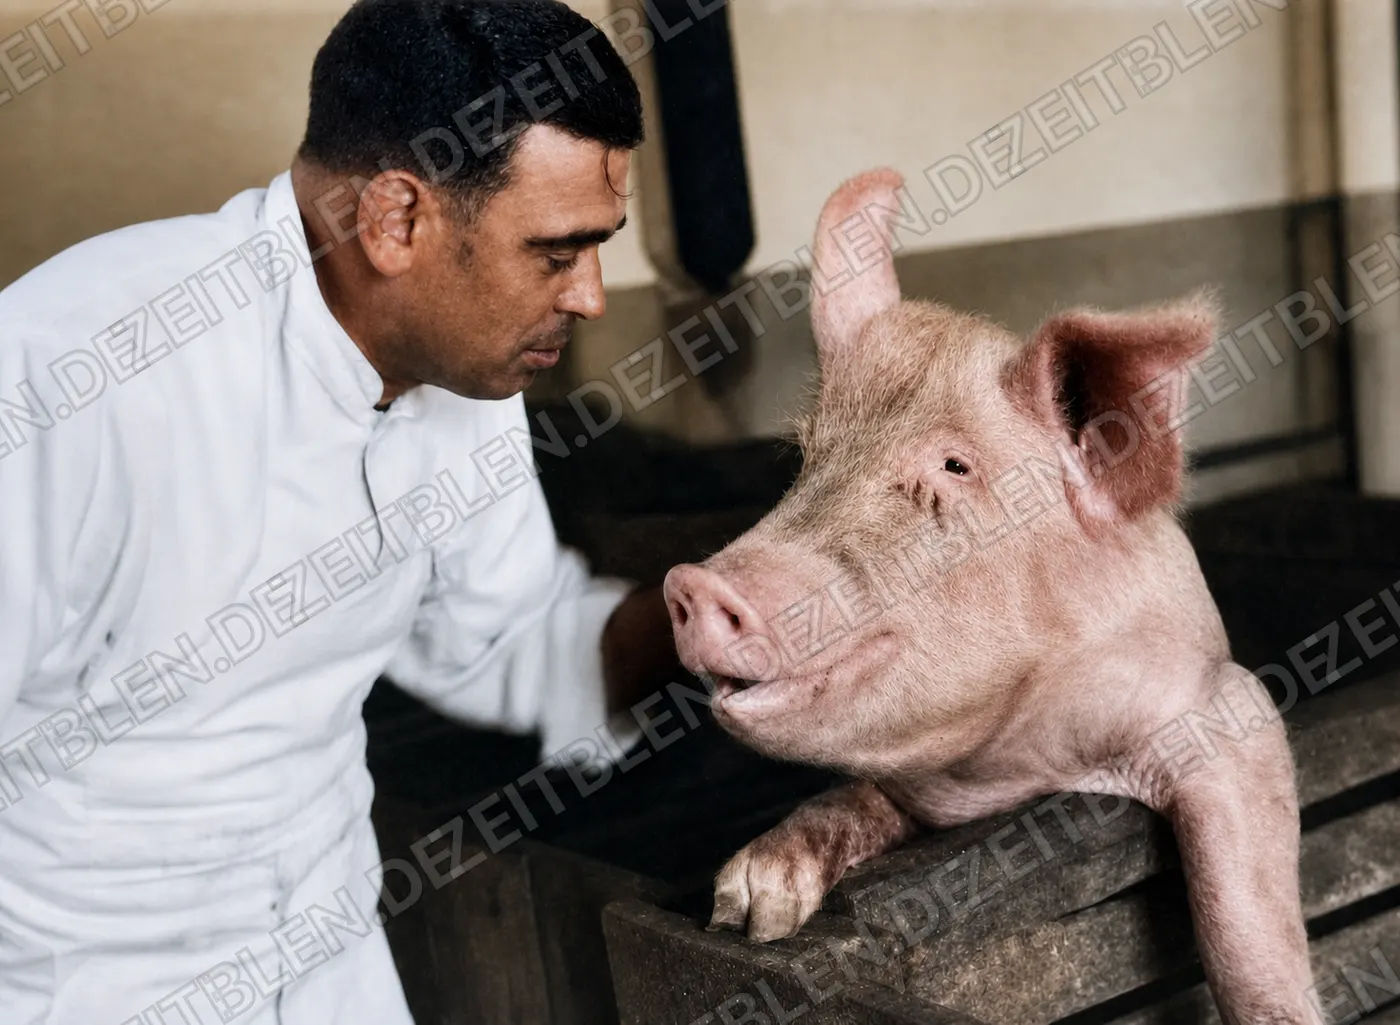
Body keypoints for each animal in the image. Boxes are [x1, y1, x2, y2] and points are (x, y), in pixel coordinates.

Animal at [663, 169, 1312, 1025]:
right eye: (803, 456)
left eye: (953, 467)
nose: (695, 582)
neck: (1025, 765)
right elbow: (853, 796)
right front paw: (747, 907)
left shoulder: (1229, 705)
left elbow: (1244, 925)